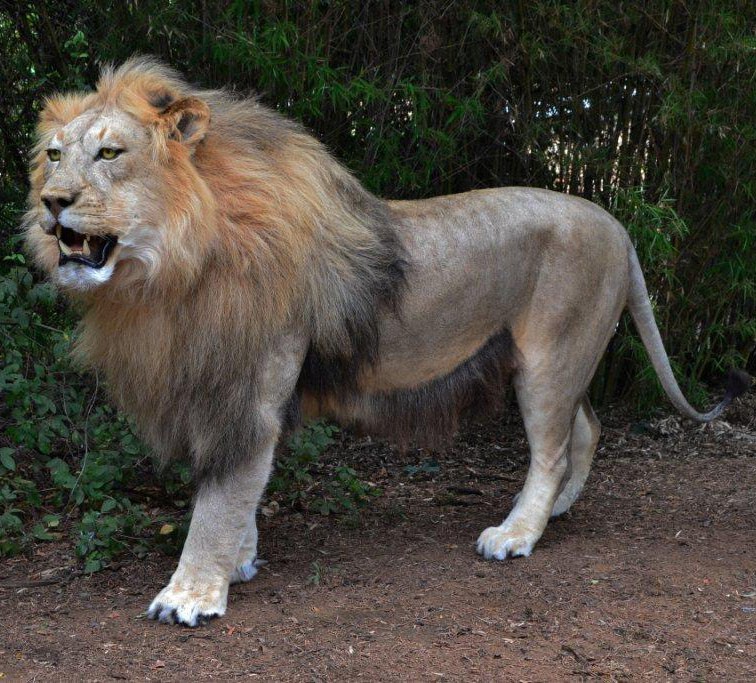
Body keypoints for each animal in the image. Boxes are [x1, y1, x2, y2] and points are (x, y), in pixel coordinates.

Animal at [24, 58, 749, 627]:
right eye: (55, 155)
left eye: (110, 154)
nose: (52, 203)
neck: (175, 263)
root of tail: (620, 227)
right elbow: (242, 493)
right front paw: (242, 561)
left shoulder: (247, 389)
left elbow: (220, 497)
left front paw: (190, 593)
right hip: (561, 359)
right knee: (588, 429)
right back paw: (562, 510)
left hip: (551, 356)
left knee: (550, 450)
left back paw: (518, 533)